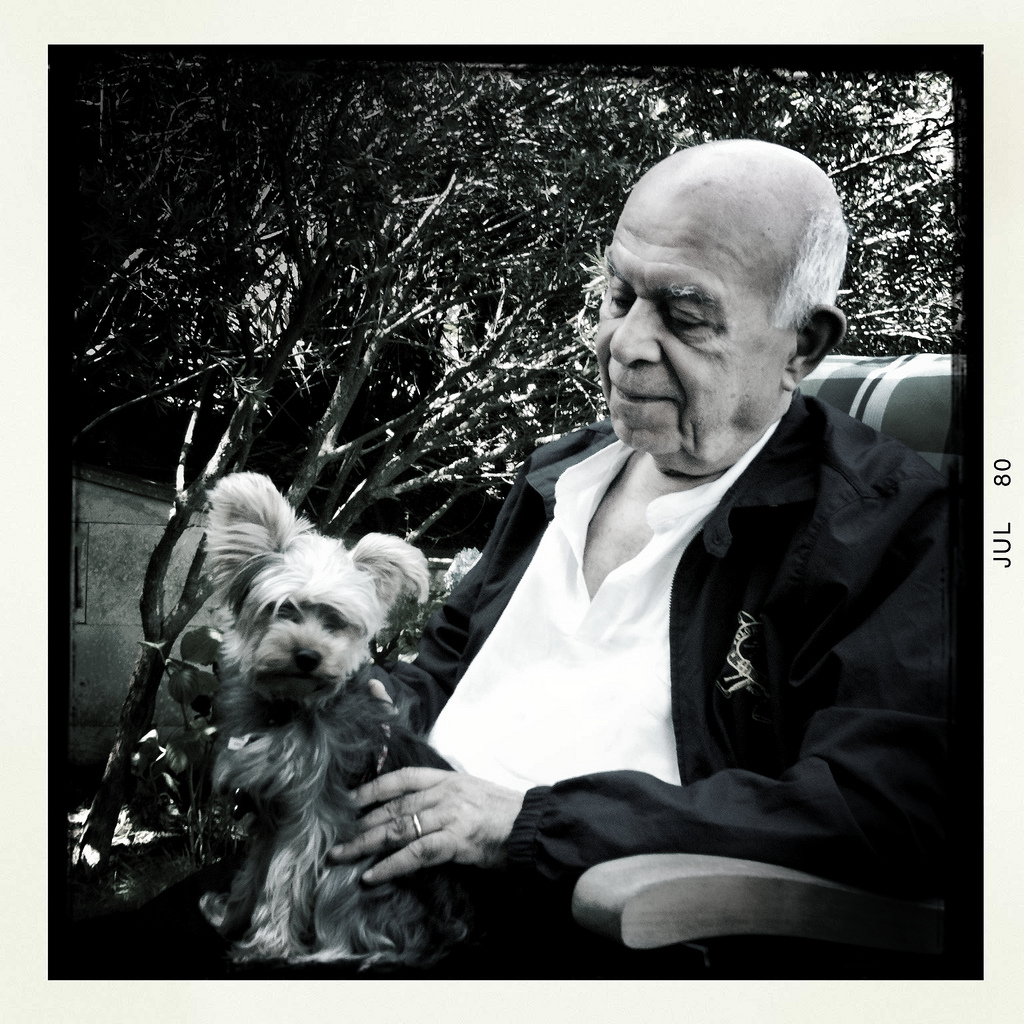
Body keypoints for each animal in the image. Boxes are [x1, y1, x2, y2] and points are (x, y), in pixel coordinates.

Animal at [198, 472, 474, 968]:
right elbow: (254, 870)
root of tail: (450, 929)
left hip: (356, 871)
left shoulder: (313, 815)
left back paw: (320, 953)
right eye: (283, 609)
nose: (308, 655)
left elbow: (285, 876)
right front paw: (231, 917)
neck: (293, 706)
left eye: (337, 622)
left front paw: (267, 945)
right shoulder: (271, 806)